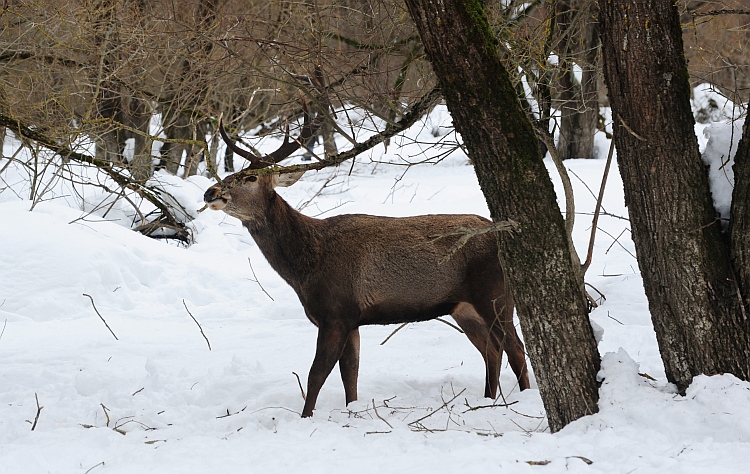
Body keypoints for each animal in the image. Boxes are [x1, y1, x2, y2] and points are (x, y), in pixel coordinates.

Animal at [203, 104, 532, 418]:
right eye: (229, 175)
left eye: (250, 177)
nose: (210, 192)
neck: (305, 268)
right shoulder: (351, 320)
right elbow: (351, 375)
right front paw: (352, 410)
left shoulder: (337, 313)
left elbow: (316, 375)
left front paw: (305, 417)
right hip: (463, 307)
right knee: (492, 350)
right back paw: (489, 399)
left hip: (494, 293)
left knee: (515, 348)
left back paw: (523, 400)